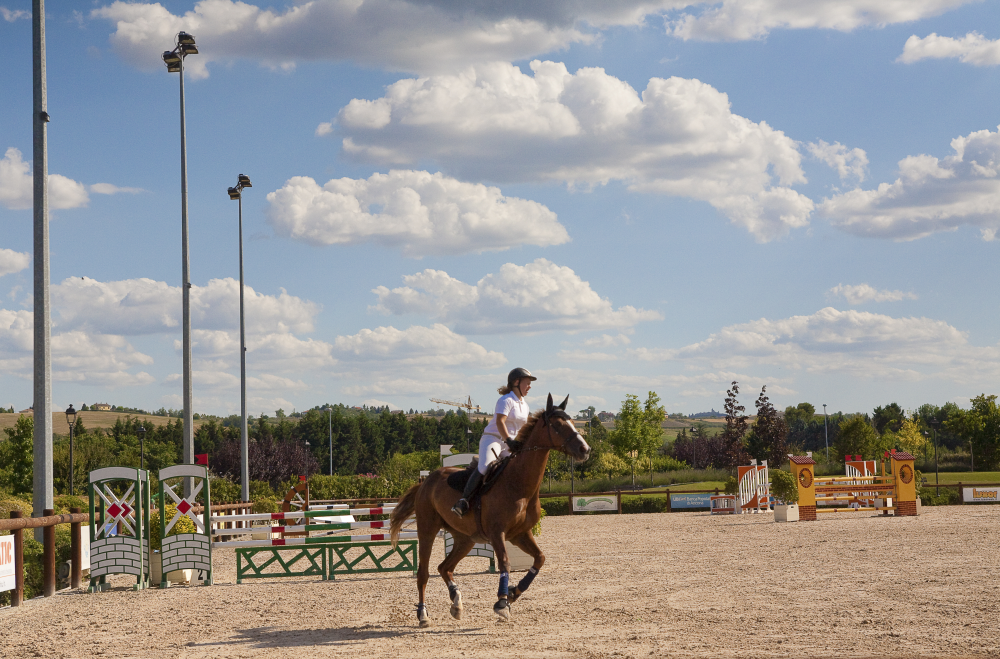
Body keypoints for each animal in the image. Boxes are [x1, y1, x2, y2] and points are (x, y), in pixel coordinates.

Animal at [388, 394, 588, 628]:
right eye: (557, 426)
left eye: (572, 422)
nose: (585, 450)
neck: (519, 484)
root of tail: (426, 481)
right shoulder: (497, 533)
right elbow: (505, 563)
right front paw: (502, 603)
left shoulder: (520, 534)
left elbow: (539, 558)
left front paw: (513, 593)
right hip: (428, 530)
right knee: (424, 573)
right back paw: (422, 614)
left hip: (465, 539)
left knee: (444, 567)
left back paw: (456, 602)